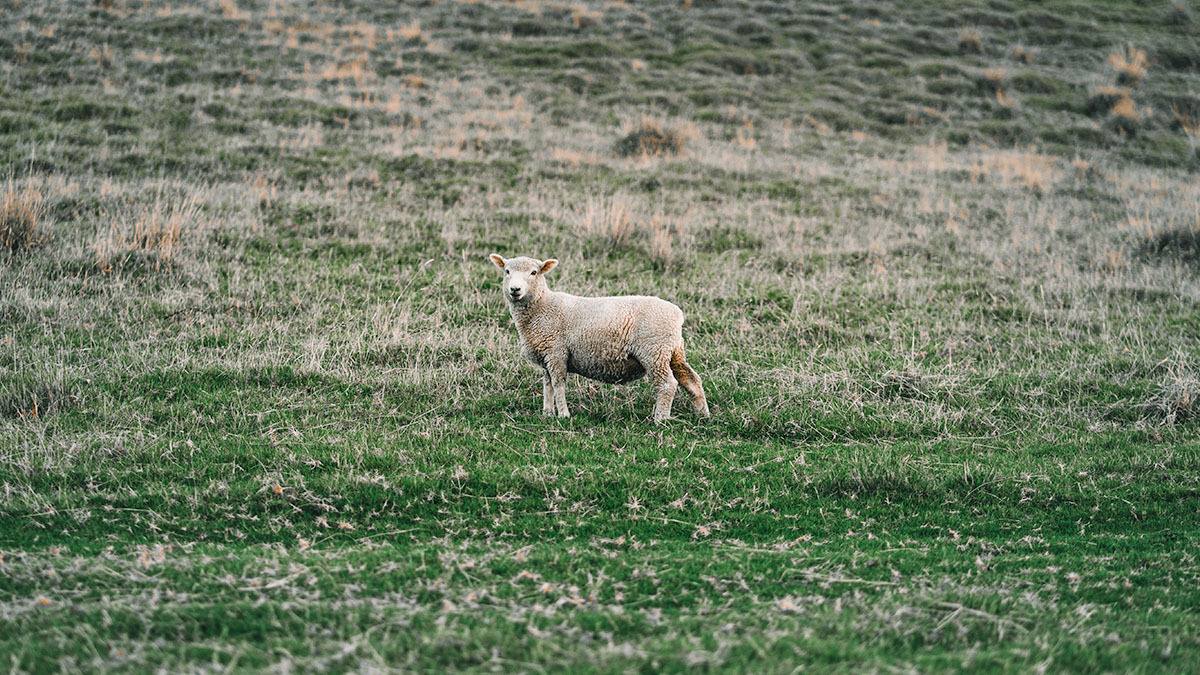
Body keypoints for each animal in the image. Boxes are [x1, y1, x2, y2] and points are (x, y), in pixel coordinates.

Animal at [489, 252, 710, 420]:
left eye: (534, 272)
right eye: (507, 271)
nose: (515, 289)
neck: (543, 307)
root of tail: (677, 314)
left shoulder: (556, 352)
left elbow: (559, 383)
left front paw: (563, 415)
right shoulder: (546, 355)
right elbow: (548, 384)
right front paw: (547, 413)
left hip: (654, 350)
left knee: (667, 384)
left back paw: (660, 418)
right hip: (672, 351)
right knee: (691, 379)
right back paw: (703, 414)